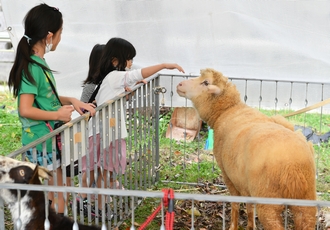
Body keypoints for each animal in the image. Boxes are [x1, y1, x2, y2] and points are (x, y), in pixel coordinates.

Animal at [177, 68, 316, 230]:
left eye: (206, 82)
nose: (179, 84)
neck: (226, 110)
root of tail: (293, 165)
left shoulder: (228, 175)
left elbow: (235, 204)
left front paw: (233, 225)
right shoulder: (245, 184)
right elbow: (249, 207)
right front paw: (250, 226)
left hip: (268, 201)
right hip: (305, 200)